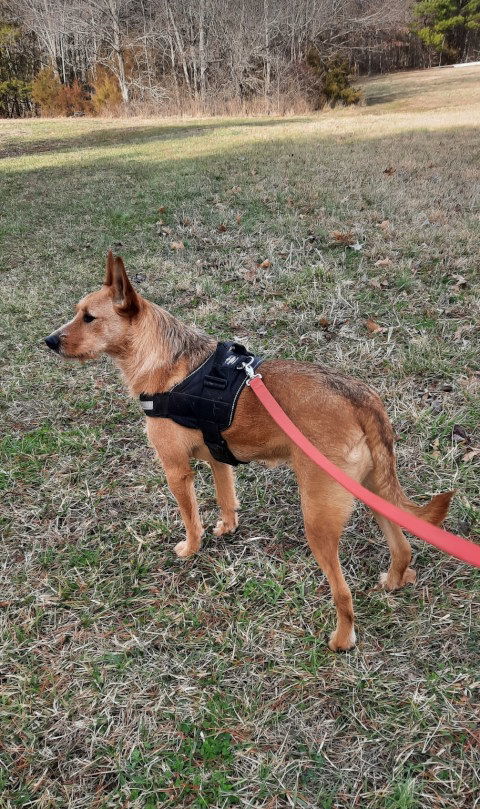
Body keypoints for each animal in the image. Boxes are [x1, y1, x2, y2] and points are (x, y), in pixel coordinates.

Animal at [46, 252, 454, 652]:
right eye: (78, 312)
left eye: (89, 317)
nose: (49, 341)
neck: (165, 358)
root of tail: (361, 398)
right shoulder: (217, 460)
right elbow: (226, 498)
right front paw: (227, 527)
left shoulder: (176, 469)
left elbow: (190, 517)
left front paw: (191, 548)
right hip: (372, 490)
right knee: (403, 547)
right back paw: (394, 580)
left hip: (319, 517)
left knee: (344, 593)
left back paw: (341, 640)